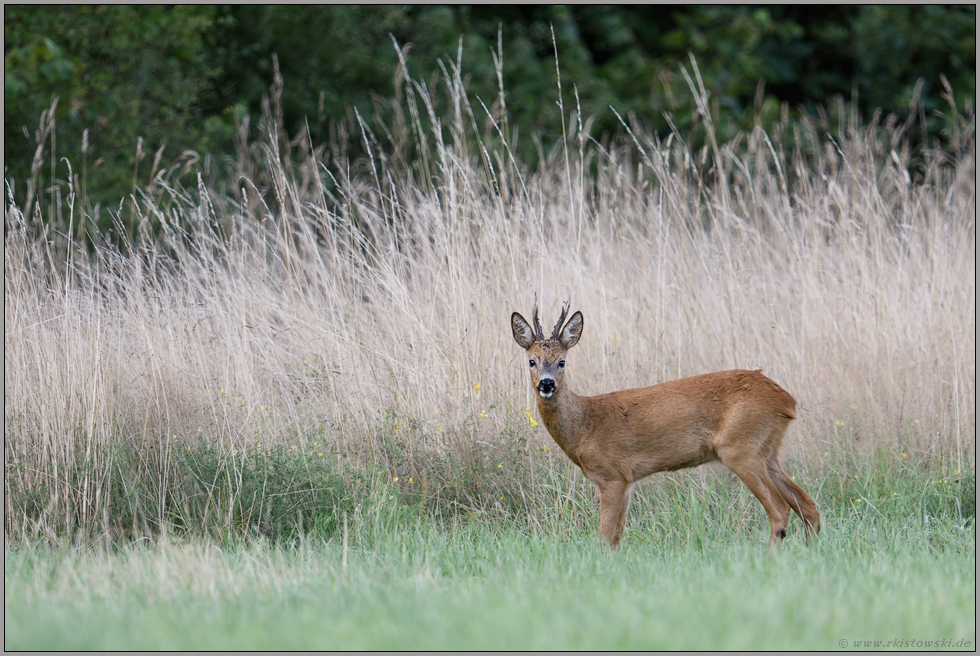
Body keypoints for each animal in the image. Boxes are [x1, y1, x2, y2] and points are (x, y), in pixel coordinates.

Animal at [512, 298, 820, 548]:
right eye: (531, 361)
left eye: (562, 361)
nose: (547, 384)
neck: (585, 426)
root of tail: (787, 400)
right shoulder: (628, 481)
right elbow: (616, 537)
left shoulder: (612, 474)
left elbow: (604, 536)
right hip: (768, 451)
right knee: (807, 504)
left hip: (741, 447)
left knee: (780, 511)